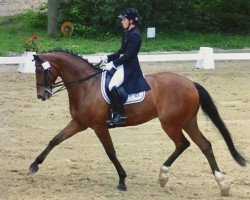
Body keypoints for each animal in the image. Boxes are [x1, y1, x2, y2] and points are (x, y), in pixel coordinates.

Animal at [30, 49, 246, 195]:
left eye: (40, 69)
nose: (41, 95)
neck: (86, 85)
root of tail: (191, 83)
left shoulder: (99, 126)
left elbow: (111, 152)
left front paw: (122, 181)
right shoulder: (79, 123)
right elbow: (55, 140)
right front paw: (34, 165)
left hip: (170, 123)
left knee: (183, 144)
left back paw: (163, 176)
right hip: (187, 121)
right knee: (204, 145)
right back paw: (223, 185)